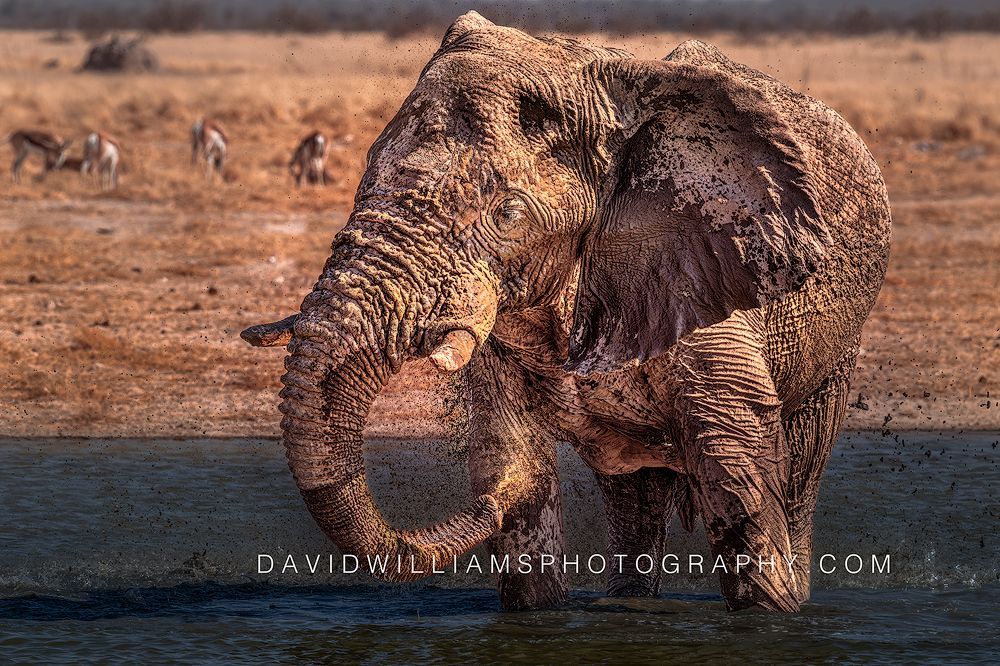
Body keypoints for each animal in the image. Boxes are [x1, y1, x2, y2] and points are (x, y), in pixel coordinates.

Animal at [242, 12, 891, 612]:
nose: (488, 502)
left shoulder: (710, 281)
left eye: (508, 214)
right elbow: (515, 458)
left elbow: (736, 475)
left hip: (838, 344)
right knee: (634, 496)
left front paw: (768, 621)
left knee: (799, 474)